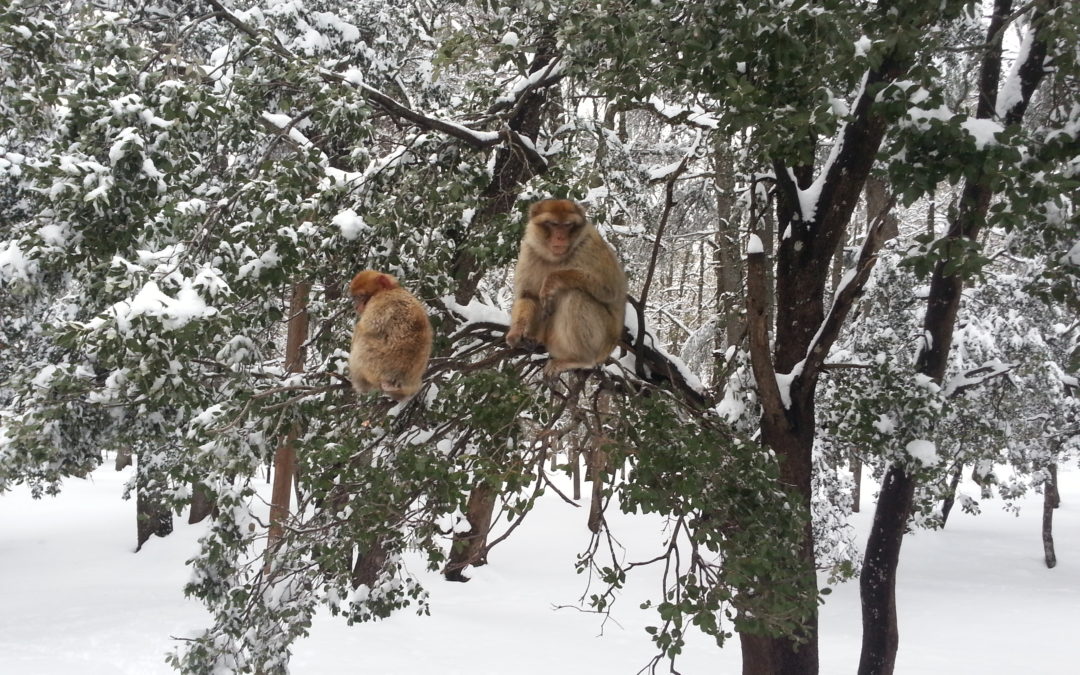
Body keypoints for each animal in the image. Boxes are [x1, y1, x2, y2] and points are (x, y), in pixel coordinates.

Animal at [345, 270, 429, 399]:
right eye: (355, 298)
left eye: (360, 296)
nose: (356, 306)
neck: (390, 289)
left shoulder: (380, 301)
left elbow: (365, 328)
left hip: (372, 361)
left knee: (361, 335)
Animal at [503, 196, 626, 373]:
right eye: (553, 224)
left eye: (567, 225)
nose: (561, 237)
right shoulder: (529, 250)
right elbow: (528, 295)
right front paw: (516, 332)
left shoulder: (591, 246)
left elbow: (611, 290)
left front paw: (552, 281)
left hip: (601, 343)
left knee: (575, 295)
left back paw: (580, 359)